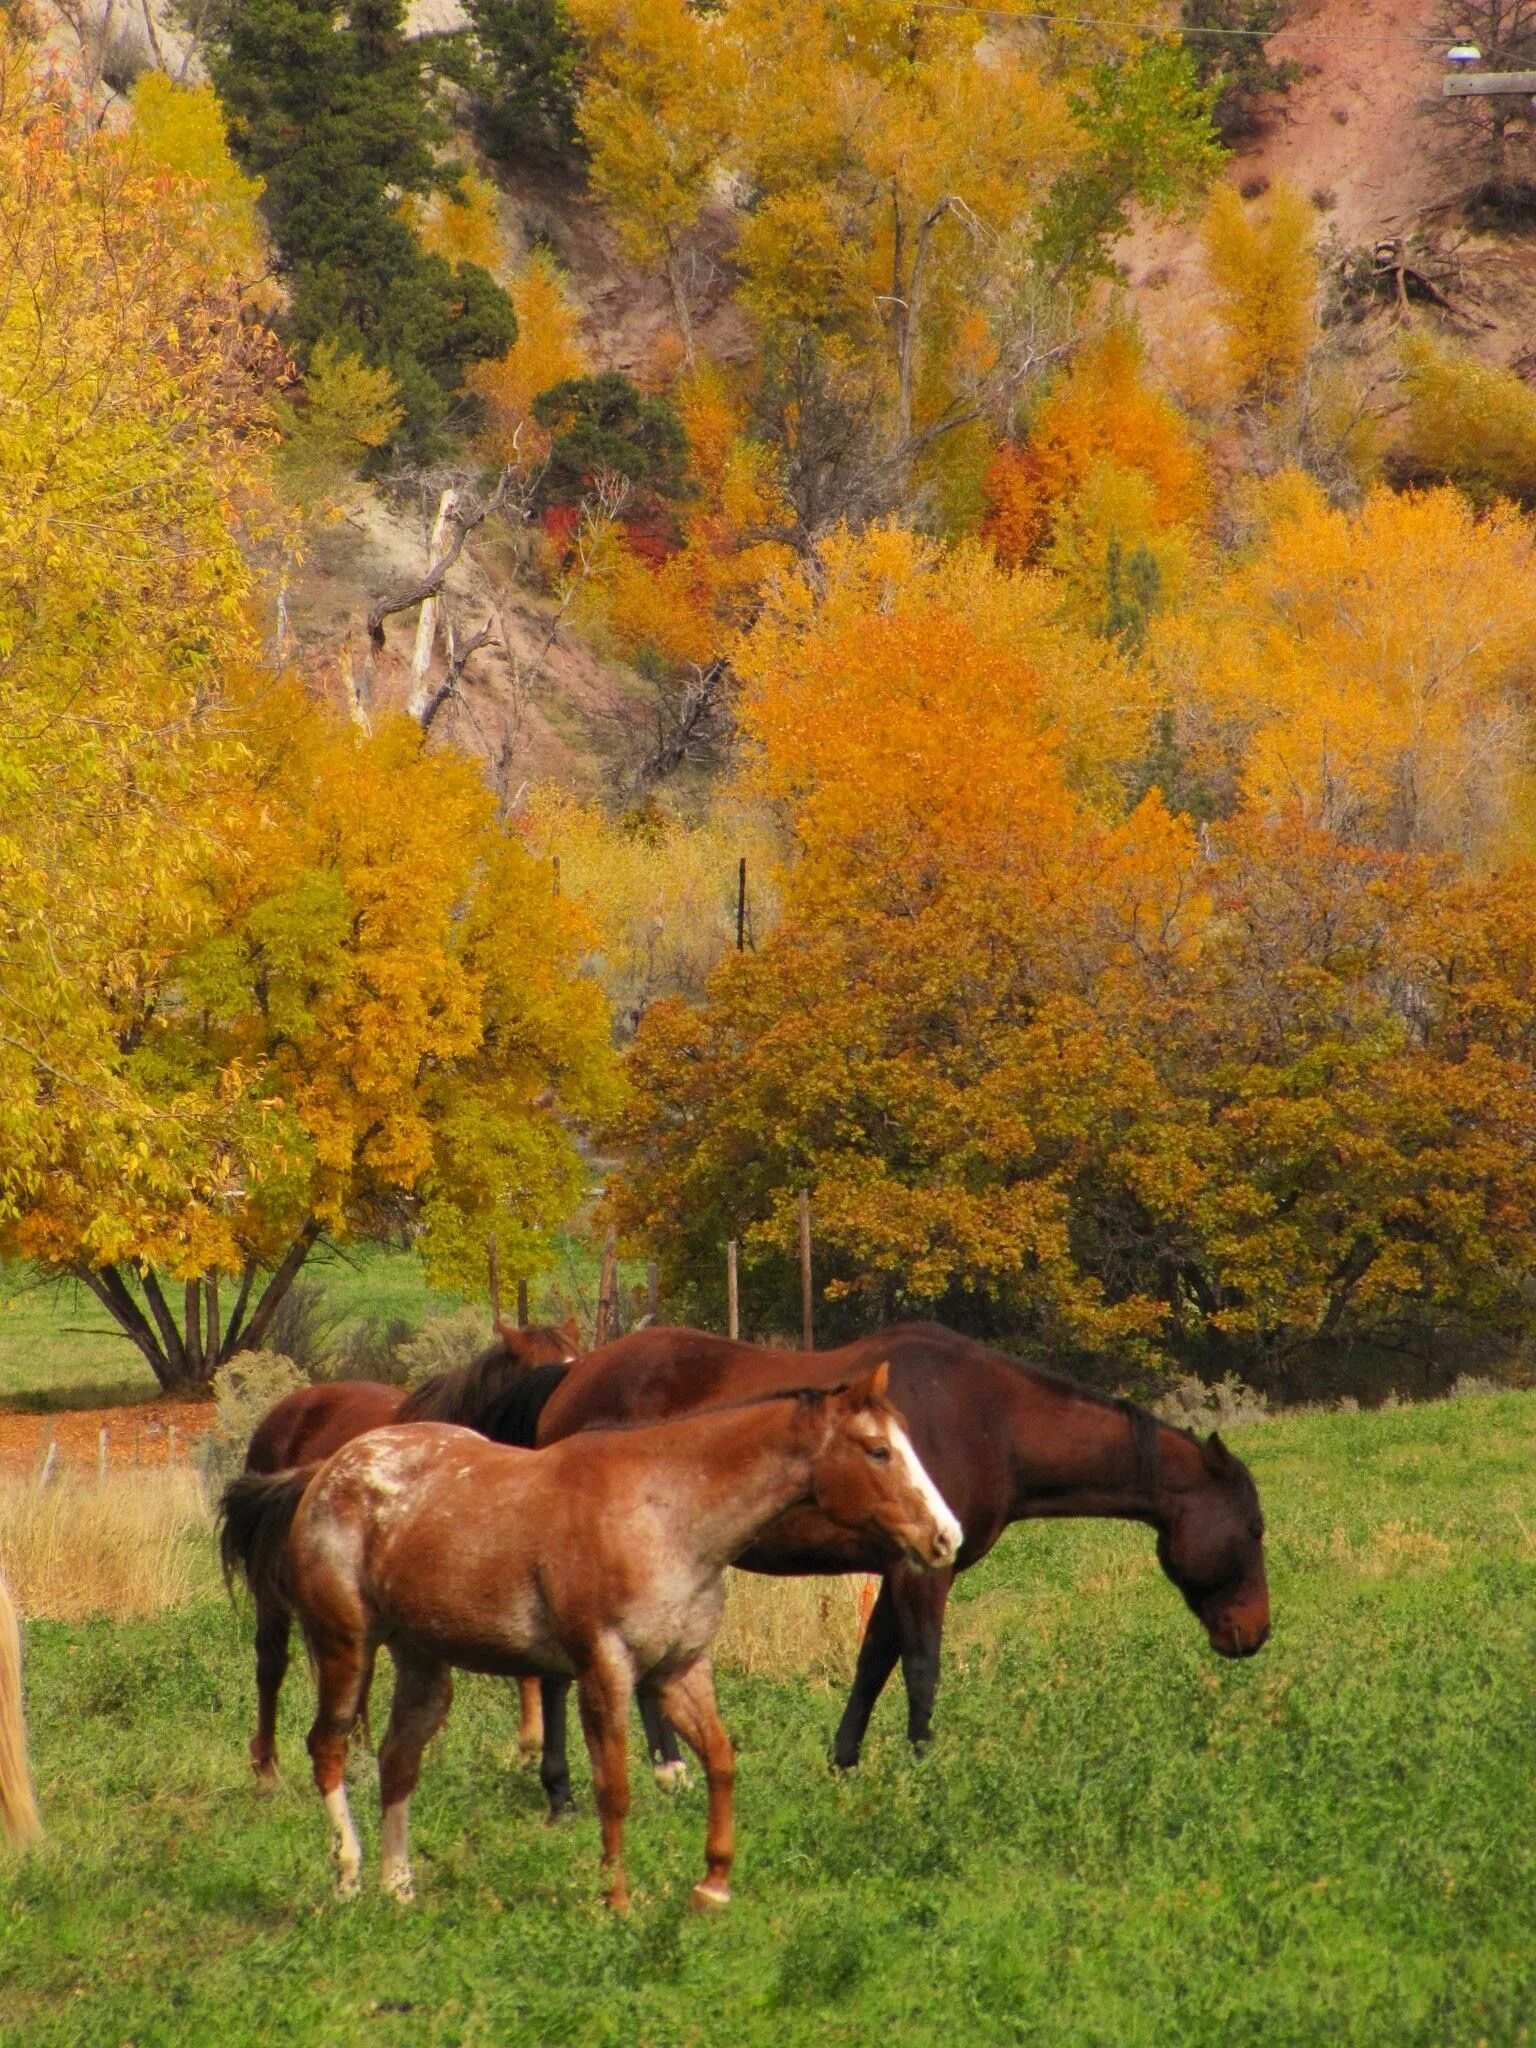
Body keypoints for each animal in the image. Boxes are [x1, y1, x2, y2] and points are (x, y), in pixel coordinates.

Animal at [217, 1368, 962, 1908]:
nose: (945, 1537)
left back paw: (398, 1887)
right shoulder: (605, 1674)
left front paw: (713, 1885)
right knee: (328, 1748)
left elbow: (721, 1761)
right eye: (878, 1451)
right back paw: (348, 1875)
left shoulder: (681, 1670)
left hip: (424, 1664)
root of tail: (323, 1474)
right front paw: (617, 1899)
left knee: (399, 1760)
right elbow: (615, 1789)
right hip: (345, 1648)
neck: (667, 1512)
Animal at [518, 1327, 1277, 1810]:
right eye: (1253, 1527)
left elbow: (872, 1662)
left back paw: (665, 1772)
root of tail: (571, 1375)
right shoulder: (924, 1572)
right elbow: (920, 1667)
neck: (990, 1420)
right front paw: (924, 1768)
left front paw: (845, 1762)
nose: (1255, 1632)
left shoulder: (898, 1568)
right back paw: (564, 1790)